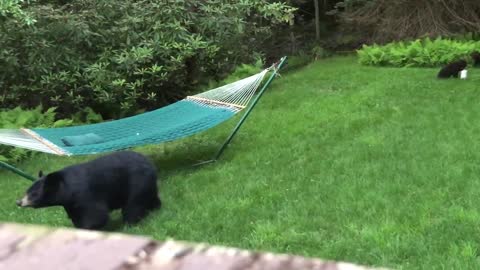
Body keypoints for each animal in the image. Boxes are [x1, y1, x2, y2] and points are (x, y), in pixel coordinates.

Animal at [16, 151, 161, 229]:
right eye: (27, 190)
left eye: (33, 194)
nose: (19, 202)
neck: (68, 190)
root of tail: (150, 164)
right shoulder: (71, 204)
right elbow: (75, 215)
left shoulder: (85, 194)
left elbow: (95, 214)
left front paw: (88, 228)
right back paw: (155, 208)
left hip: (136, 182)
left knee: (133, 205)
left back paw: (130, 224)